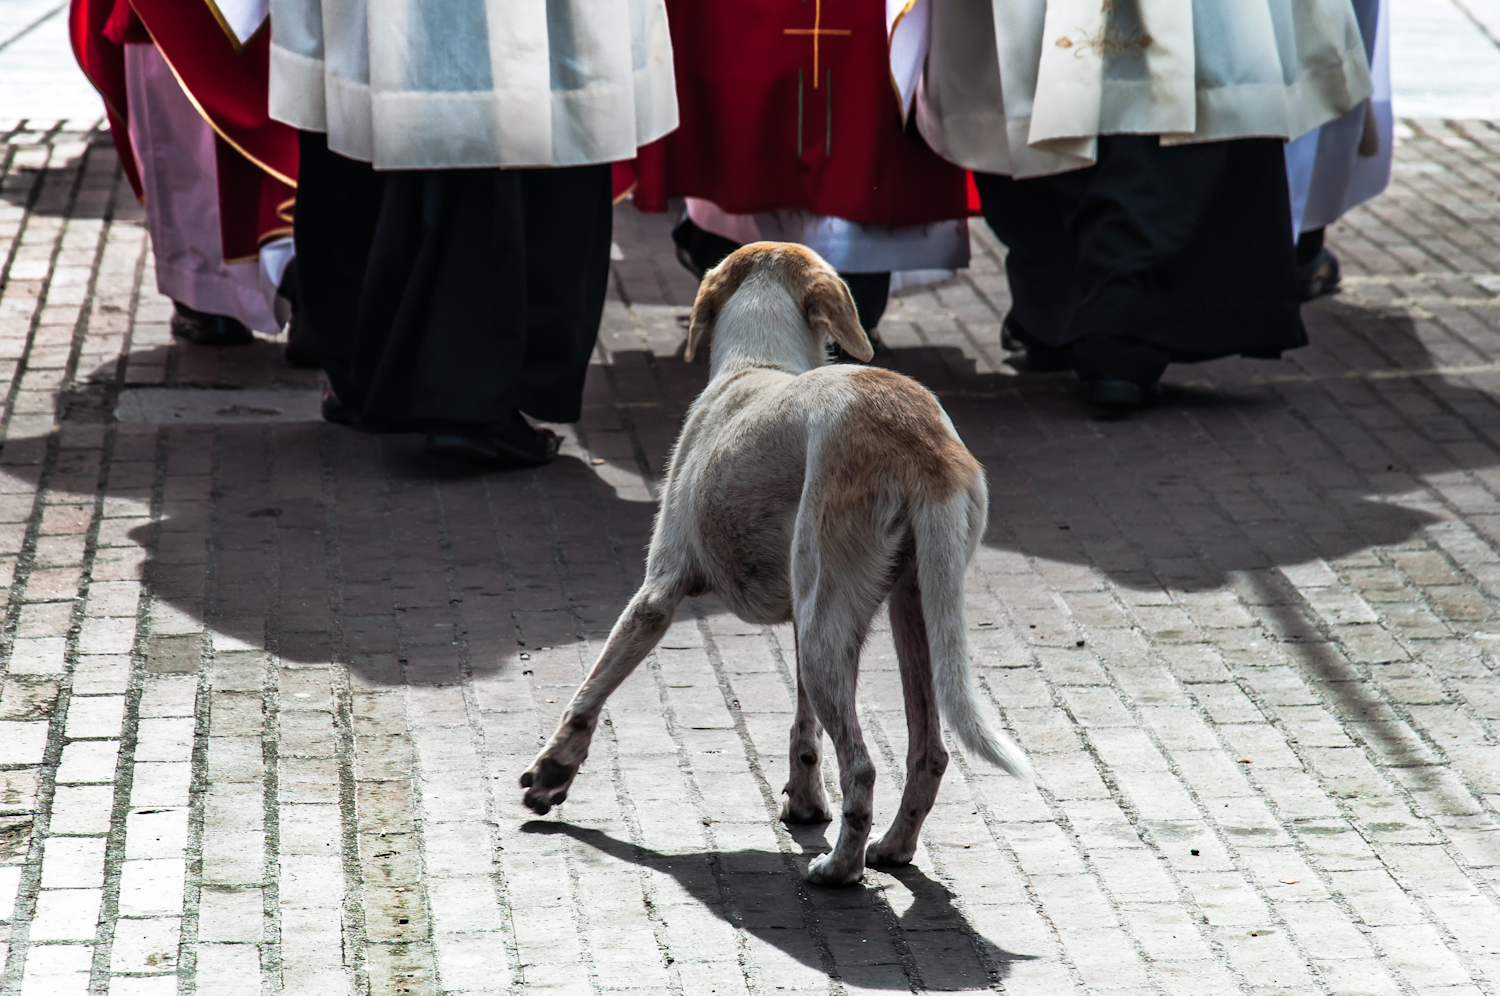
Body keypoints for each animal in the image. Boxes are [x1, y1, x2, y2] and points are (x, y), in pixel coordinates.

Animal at [519, 241, 1032, 888]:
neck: (759, 364)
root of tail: (924, 445)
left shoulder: (657, 591)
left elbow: (591, 689)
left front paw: (552, 771)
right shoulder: (800, 608)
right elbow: (804, 728)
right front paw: (806, 801)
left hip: (825, 631)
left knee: (863, 767)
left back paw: (839, 868)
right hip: (898, 608)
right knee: (928, 752)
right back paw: (891, 848)